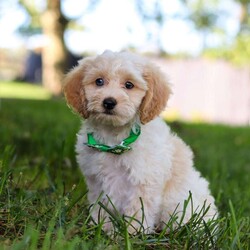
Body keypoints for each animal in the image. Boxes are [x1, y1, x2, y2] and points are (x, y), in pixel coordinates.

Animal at [64, 49, 217, 233]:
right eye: (99, 81)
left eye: (129, 85)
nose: (109, 102)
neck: (115, 139)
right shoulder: (96, 180)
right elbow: (100, 206)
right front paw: (101, 228)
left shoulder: (144, 181)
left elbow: (138, 211)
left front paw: (131, 233)